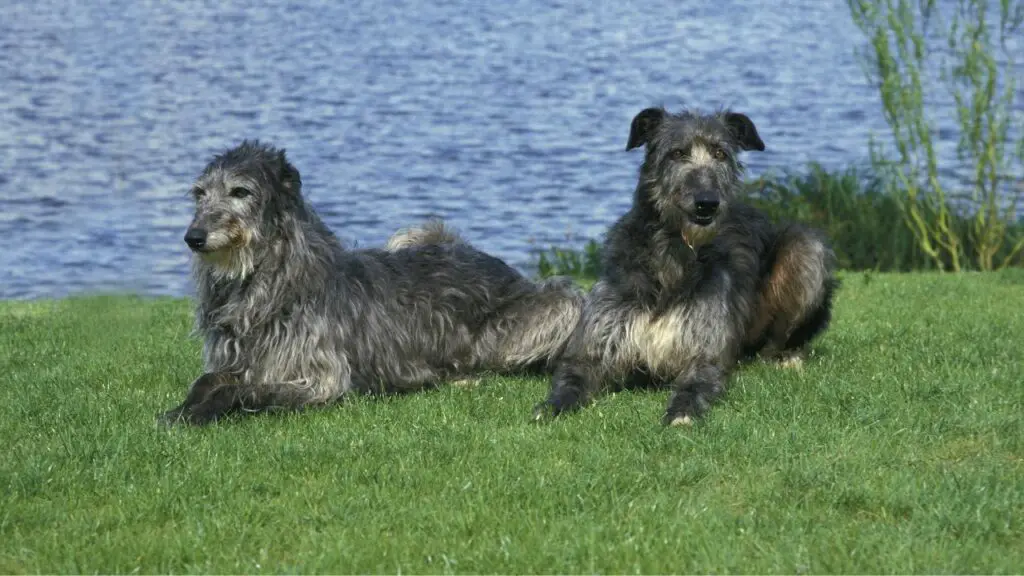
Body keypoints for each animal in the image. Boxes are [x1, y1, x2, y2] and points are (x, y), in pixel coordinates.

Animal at [155, 141, 581, 424]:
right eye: (199, 194)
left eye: (240, 191)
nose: (193, 237)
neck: (271, 283)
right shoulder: (236, 359)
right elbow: (207, 380)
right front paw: (183, 407)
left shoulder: (320, 378)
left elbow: (249, 391)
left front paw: (198, 414)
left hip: (562, 303)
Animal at [532, 105, 835, 424]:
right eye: (676, 153)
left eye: (720, 153)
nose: (707, 203)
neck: (672, 256)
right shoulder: (596, 342)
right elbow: (572, 376)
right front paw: (553, 406)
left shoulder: (705, 352)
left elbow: (696, 383)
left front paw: (682, 412)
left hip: (805, 246)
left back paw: (787, 358)